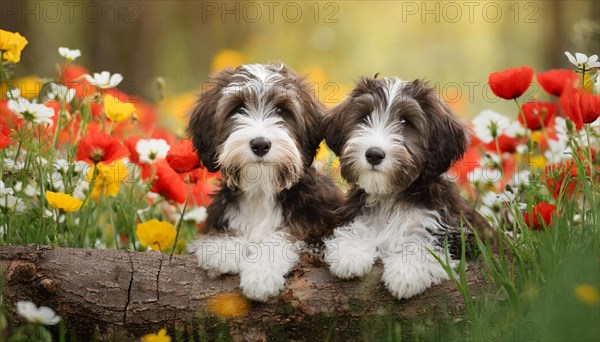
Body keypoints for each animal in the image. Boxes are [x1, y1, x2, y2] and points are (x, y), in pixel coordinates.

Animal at [188, 62, 342, 300]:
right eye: (238, 109)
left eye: (281, 110)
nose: (260, 144)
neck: (261, 189)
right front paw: (223, 246)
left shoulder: (319, 228)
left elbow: (286, 236)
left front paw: (261, 274)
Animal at [324, 77, 492, 300]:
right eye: (364, 117)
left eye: (405, 122)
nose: (374, 154)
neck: (390, 195)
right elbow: (356, 229)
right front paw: (350, 253)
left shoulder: (455, 232)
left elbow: (422, 244)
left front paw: (405, 273)